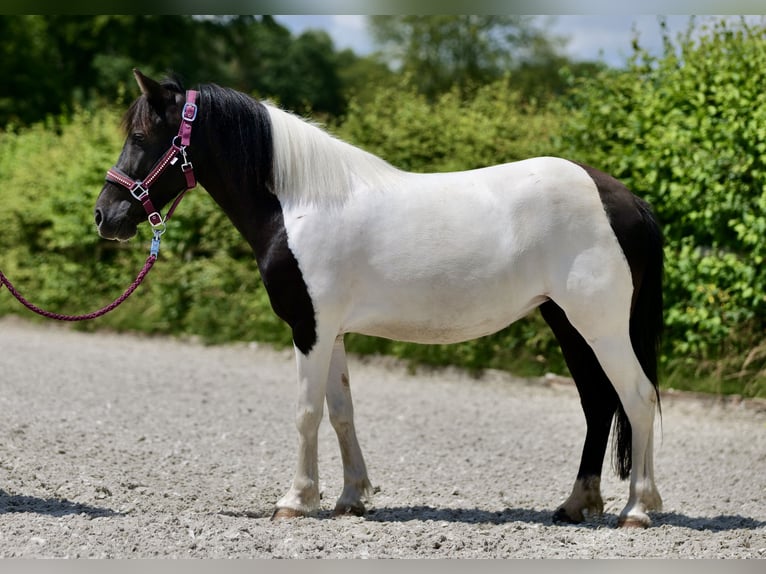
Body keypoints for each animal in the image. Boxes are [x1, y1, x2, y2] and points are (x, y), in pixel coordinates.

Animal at [94, 72, 664, 532]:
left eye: (142, 137)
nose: (105, 215)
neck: (299, 204)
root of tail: (625, 199)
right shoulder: (332, 332)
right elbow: (341, 412)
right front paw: (351, 498)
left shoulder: (309, 329)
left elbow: (306, 411)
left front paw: (295, 501)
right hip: (567, 322)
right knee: (598, 404)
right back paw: (576, 504)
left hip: (600, 325)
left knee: (636, 397)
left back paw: (636, 510)